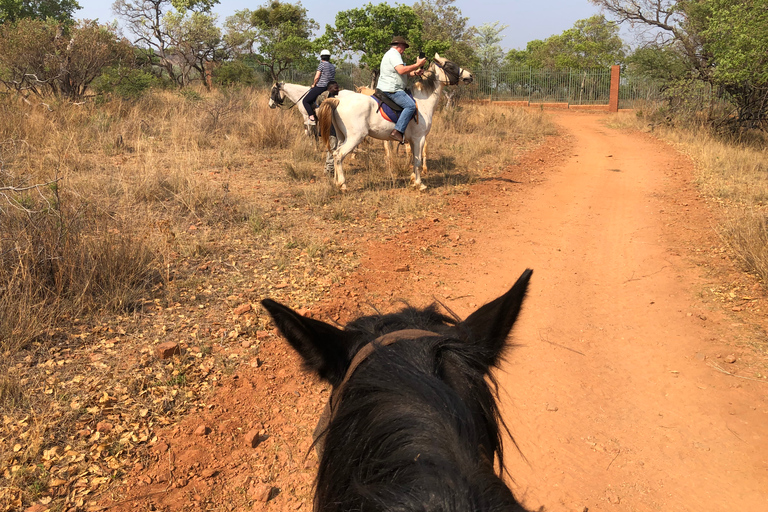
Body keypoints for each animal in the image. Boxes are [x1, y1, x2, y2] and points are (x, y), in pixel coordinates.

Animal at [318, 54, 474, 191]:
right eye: (450, 66)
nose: (470, 76)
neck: (422, 101)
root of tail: (338, 100)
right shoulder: (419, 138)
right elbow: (417, 161)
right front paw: (419, 184)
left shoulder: (412, 140)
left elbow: (413, 158)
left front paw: (413, 180)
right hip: (354, 138)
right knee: (339, 155)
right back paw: (343, 185)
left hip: (341, 137)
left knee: (334, 154)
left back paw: (336, 181)